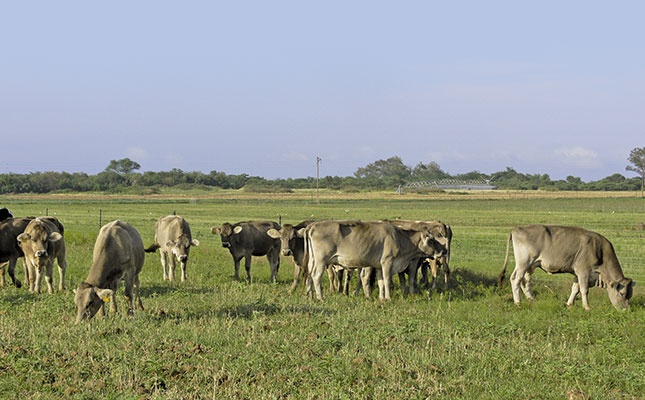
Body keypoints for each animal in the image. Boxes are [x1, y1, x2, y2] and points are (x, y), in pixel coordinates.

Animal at [498, 223, 632, 310]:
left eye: (629, 295)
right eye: (622, 294)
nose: (625, 310)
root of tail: (516, 229)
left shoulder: (577, 273)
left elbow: (575, 289)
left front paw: (569, 304)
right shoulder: (583, 271)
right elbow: (584, 290)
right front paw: (587, 307)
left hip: (530, 266)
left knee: (525, 281)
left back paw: (531, 299)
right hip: (523, 262)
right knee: (515, 279)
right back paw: (518, 302)